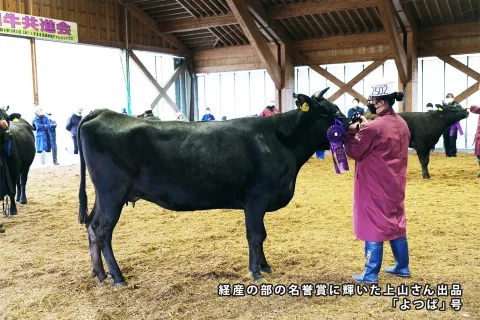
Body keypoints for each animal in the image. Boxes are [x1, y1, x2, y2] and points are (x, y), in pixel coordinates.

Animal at [77, 87, 346, 284]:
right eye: (328, 112)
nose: (351, 123)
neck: (280, 140)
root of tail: (102, 113)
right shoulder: (257, 198)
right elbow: (255, 235)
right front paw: (256, 272)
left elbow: (262, 234)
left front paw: (265, 266)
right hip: (113, 192)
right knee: (103, 230)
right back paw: (118, 277)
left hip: (105, 195)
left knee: (92, 225)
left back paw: (100, 274)